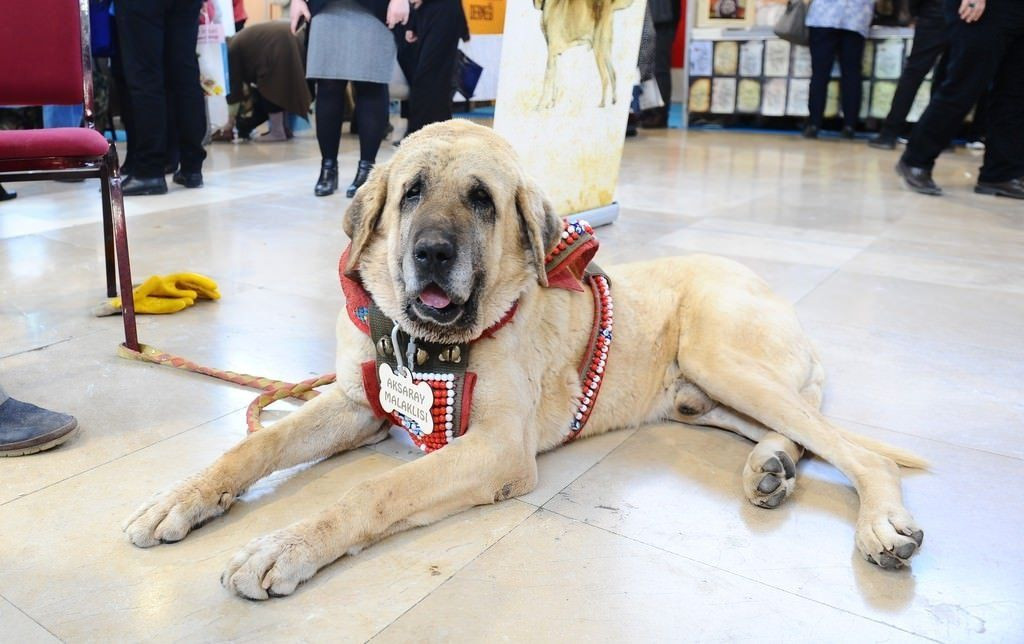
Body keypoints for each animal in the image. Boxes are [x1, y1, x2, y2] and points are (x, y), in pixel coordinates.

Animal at [123, 120, 925, 597]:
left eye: (481, 200)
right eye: (411, 191)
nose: (431, 254)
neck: (427, 342)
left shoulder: (497, 448)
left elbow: (374, 492)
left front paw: (285, 545)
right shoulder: (356, 403)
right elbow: (252, 448)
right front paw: (179, 499)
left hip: (723, 358)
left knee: (860, 453)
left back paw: (880, 526)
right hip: (703, 395)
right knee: (799, 434)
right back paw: (772, 465)